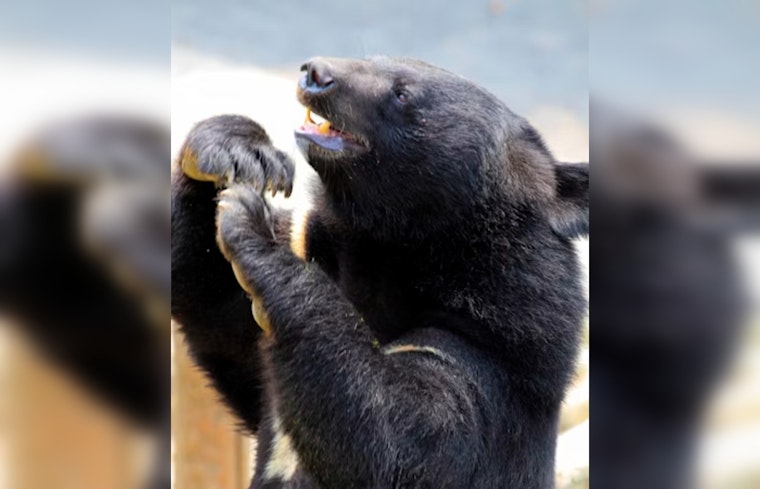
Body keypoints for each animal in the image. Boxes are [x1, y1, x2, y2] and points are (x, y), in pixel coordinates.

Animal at [171, 56, 588, 489]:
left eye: (402, 93)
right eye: (373, 58)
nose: (315, 74)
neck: (387, 257)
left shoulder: (494, 356)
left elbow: (396, 437)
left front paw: (252, 226)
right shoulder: (307, 247)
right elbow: (218, 314)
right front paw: (240, 151)